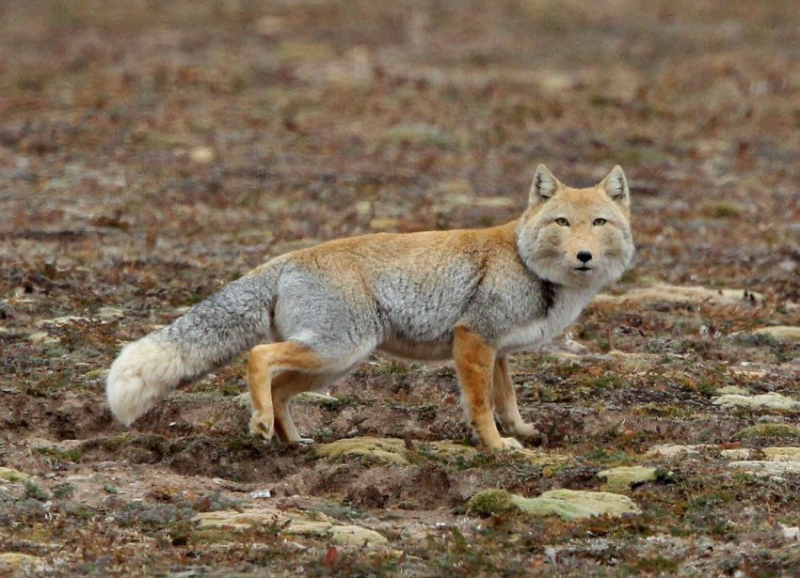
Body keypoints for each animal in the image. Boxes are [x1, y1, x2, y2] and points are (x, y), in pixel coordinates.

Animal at [106, 164, 636, 448]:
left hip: (333, 363)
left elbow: (507, 400)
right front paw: (498, 446)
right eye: (562, 222)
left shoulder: (498, 351)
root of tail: (284, 257)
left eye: (600, 223)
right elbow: (482, 405)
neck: (528, 263)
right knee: (259, 358)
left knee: (279, 389)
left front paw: (522, 432)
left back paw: (292, 440)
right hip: (338, 350)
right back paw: (260, 425)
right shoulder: (473, 339)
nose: (584, 256)